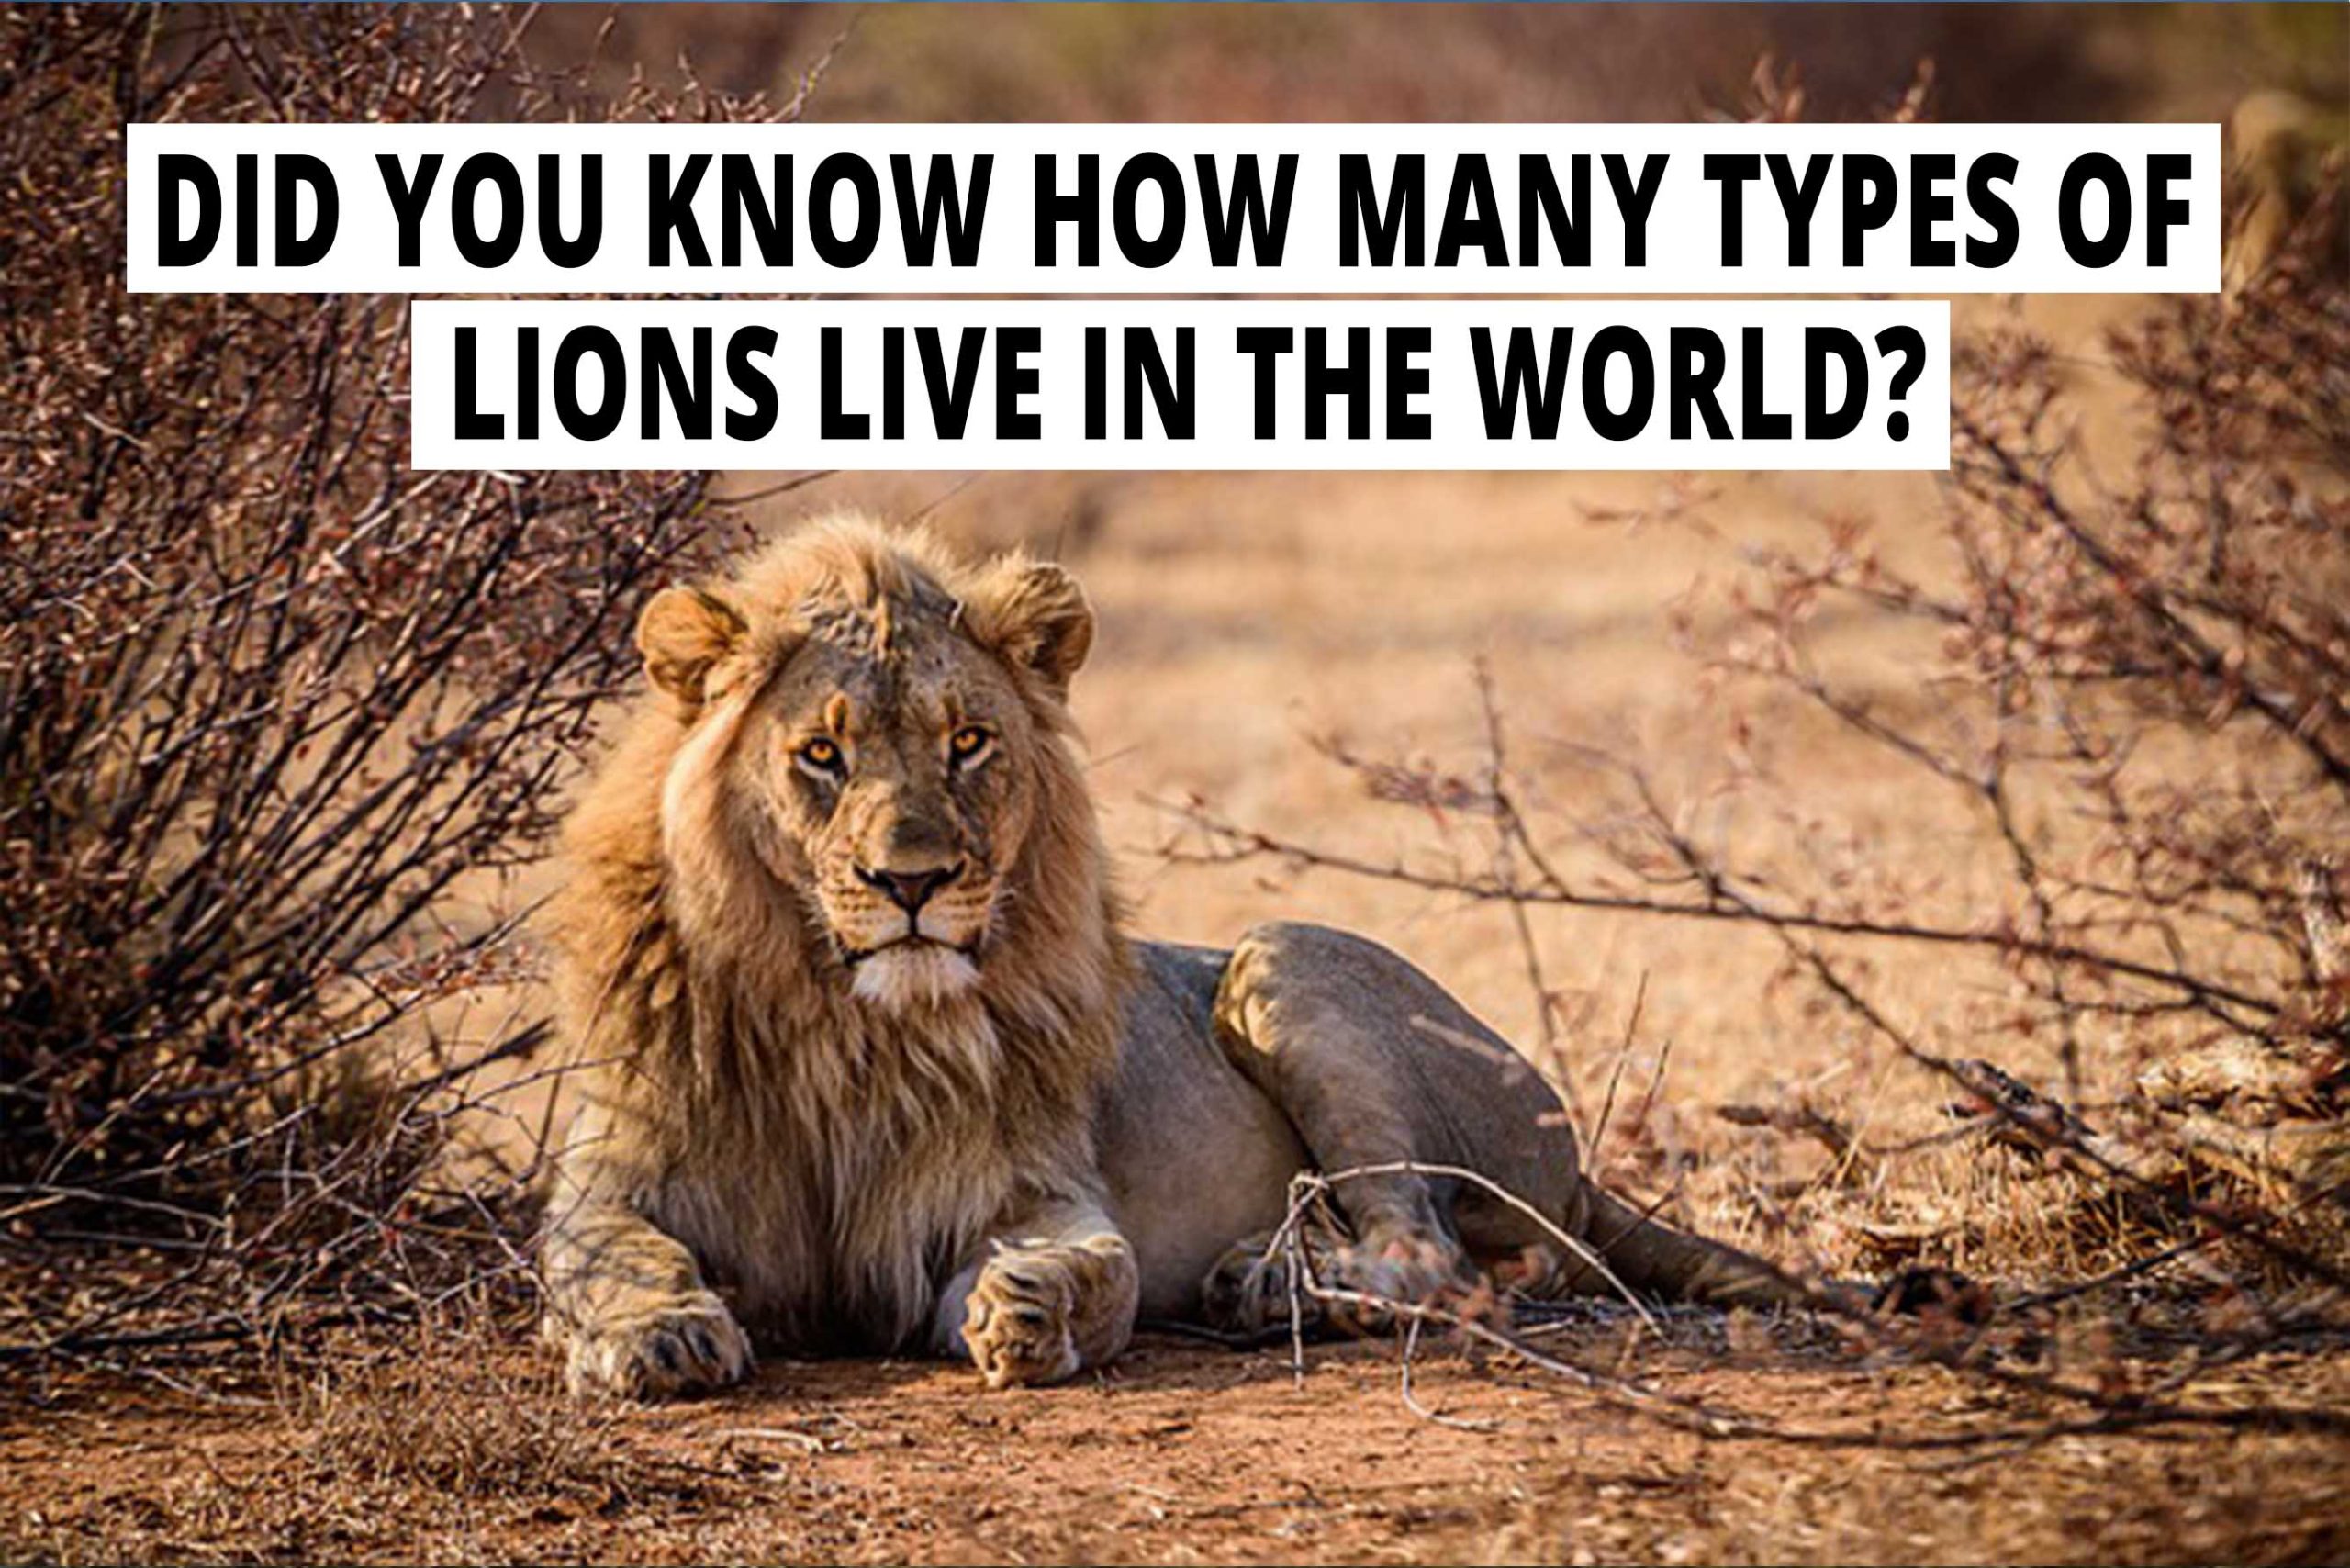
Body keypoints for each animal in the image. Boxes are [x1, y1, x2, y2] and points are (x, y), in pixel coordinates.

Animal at [541, 516, 1841, 1398]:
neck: (843, 1023)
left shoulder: (1026, 1188)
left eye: (968, 743)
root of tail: (1575, 1158)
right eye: (820, 753)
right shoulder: (613, 1175)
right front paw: (659, 1334)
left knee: (1433, 1255)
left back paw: (1270, 1285)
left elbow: (1099, 1265)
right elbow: (606, 1255)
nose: (913, 883)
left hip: (1283, 961)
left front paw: (1030, 1307)